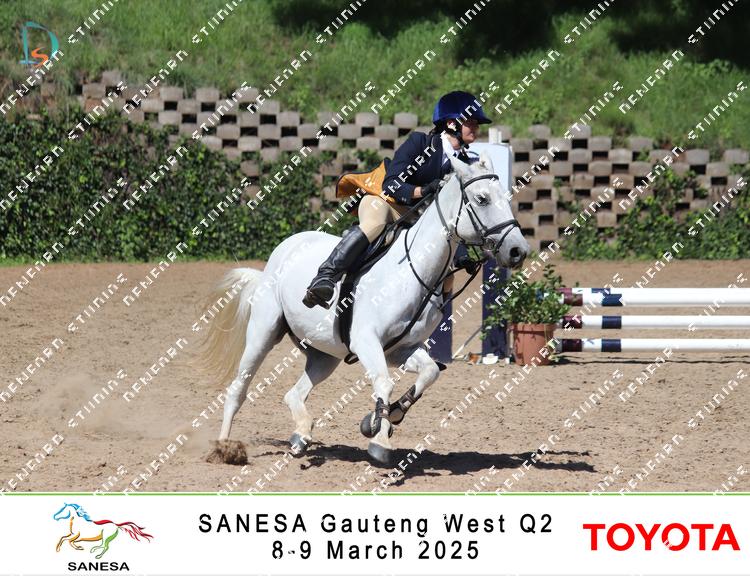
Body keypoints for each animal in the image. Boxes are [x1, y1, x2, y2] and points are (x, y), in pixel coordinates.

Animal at [198, 152, 530, 465]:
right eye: (482, 199)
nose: (518, 251)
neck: (412, 270)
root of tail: (284, 249)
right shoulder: (366, 341)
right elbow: (384, 382)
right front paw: (379, 440)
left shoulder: (402, 349)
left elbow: (430, 372)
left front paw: (387, 417)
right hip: (263, 334)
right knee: (238, 388)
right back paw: (224, 448)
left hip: (325, 355)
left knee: (294, 393)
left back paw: (302, 434)